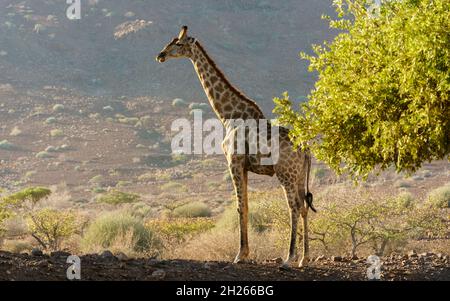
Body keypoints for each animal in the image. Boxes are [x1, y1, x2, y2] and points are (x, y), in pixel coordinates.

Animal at [158, 25, 316, 264]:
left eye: (178, 43)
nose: (160, 55)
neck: (228, 116)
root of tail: (306, 149)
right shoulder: (244, 166)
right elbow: (247, 206)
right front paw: (245, 252)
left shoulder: (233, 162)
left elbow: (240, 207)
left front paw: (240, 255)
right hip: (299, 175)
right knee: (305, 206)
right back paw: (304, 259)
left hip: (285, 173)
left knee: (294, 207)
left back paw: (289, 257)